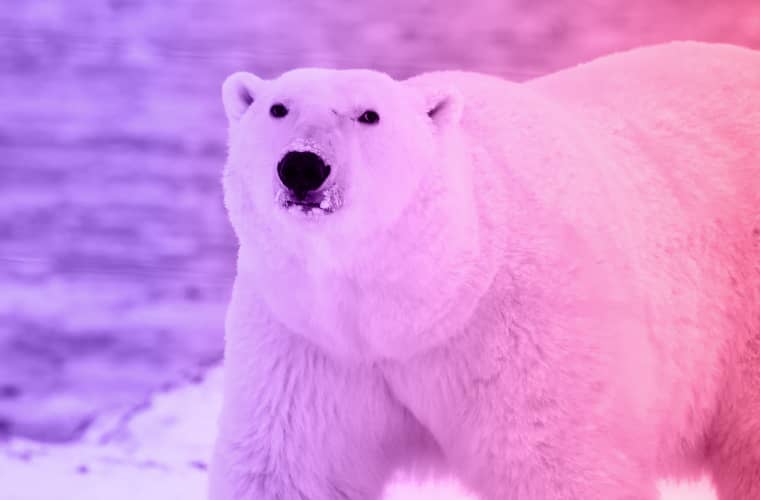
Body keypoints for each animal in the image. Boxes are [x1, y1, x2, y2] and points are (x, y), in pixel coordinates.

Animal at [208, 41, 760, 500]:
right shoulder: (307, 343)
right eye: (278, 107)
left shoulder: (525, 334)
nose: (303, 166)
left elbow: (558, 465)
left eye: (369, 115)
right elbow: (290, 469)